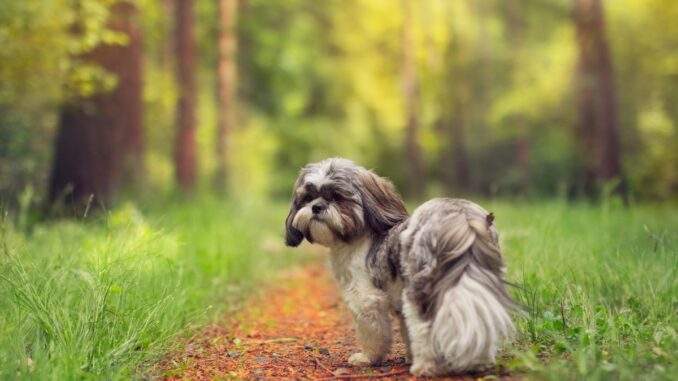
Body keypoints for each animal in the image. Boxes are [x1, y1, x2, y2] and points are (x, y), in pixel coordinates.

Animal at [286, 157, 516, 374]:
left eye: (336, 197)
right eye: (308, 198)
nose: (316, 207)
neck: (360, 235)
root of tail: (462, 217)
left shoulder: (366, 300)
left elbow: (373, 333)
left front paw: (368, 358)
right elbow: (406, 332)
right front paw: (409, 355)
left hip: (419, 289)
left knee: (424, 327)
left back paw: (426, 366)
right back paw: (477, 361)